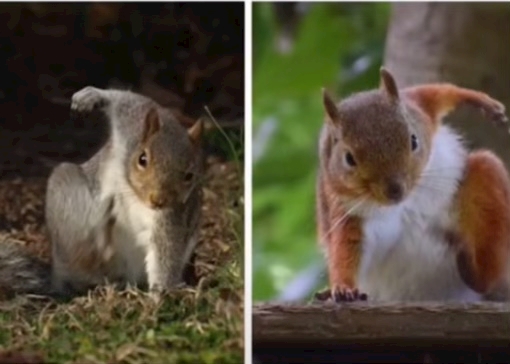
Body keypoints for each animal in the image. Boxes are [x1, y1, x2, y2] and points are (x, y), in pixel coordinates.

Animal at [0, 87, 203, 298]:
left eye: (190, 175)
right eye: (142, 159)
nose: (158, 200)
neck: (135, 195)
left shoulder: (172, 217)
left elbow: (166, 253)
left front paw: (161, 294)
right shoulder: (131, 125)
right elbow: (129, 101)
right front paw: (91, 96)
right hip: (65, 196)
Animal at [316, 67, 508, 302]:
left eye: (414, 140)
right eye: (349, 159)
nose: (395, 190)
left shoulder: (419, 107)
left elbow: (439, 92)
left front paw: (483, 101)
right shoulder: (347, 212)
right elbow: (346, 249)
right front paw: (343, 288)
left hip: (486, 180)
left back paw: (475, 270)